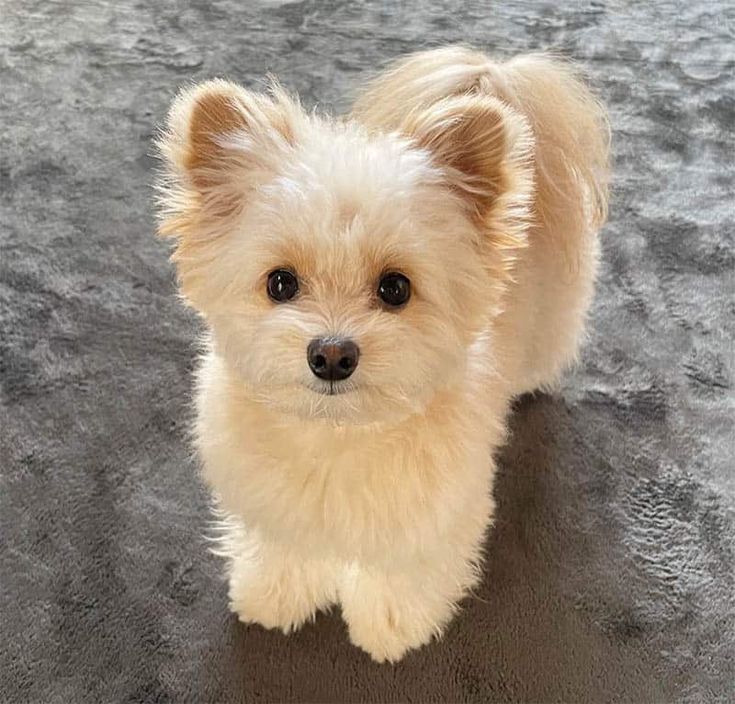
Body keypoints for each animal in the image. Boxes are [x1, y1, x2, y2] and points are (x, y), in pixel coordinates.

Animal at [154, 45, 608, 664]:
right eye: (280, 283)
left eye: (395, 288)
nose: (331, 354)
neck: (336, 434)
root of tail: (493, 74)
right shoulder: (274, 503)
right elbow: (284, 548)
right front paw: (276, 595)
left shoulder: (434, 515)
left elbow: (402, 573)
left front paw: (391, 627)